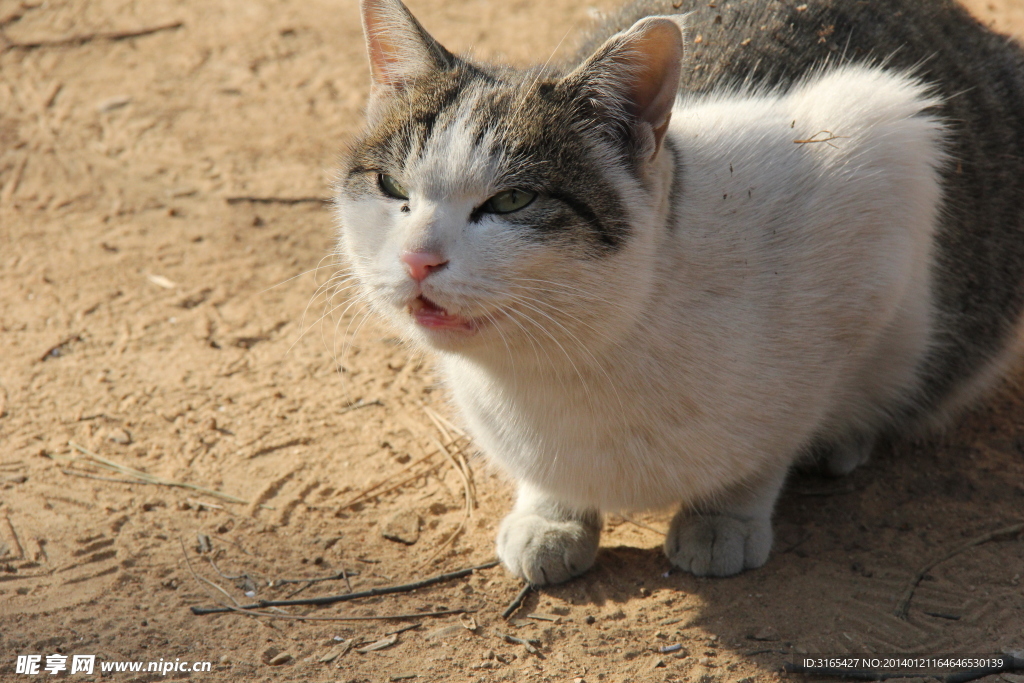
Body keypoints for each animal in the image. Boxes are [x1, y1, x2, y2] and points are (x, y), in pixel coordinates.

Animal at [333, 0, 1024, 581]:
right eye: (392, 187)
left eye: (512, 200)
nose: (417, 259)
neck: (573, 361)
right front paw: (551, 513)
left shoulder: (883, 164)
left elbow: (774, 441)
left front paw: (724, 515)